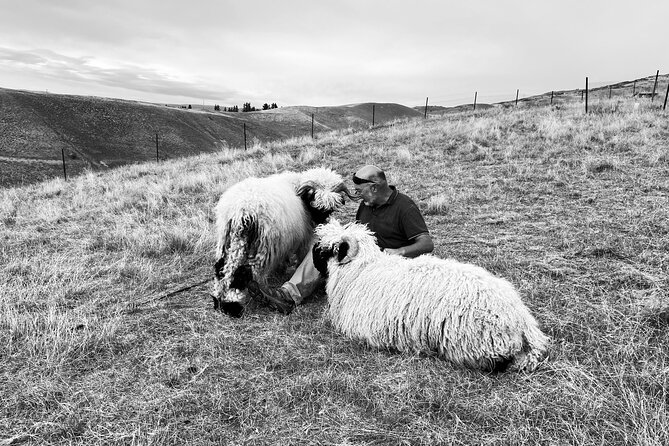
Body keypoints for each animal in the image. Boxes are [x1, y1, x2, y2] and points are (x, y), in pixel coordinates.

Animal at [214, 166, 352, 318]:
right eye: (316, 204)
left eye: (330, 209)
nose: (321, 224)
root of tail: (243, 210)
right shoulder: (302, 240)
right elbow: (301, 257)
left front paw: (281, 268)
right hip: (264, 245)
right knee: (254, 272)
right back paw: (260, 293)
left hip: (227, 240)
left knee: (223, 268)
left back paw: (222, 301)